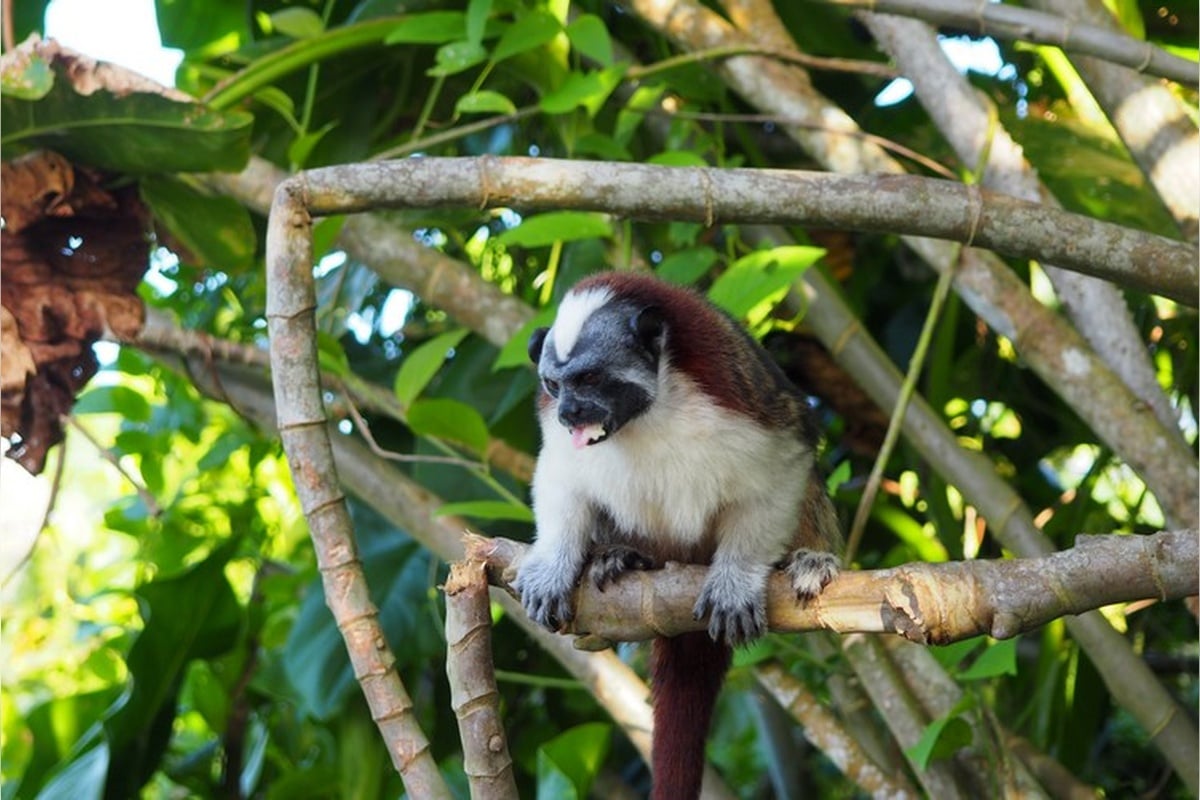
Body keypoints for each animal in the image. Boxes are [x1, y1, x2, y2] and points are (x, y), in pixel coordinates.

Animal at [515, 270, 842, 800]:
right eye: (553, 385)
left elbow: (784, 466)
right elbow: (561, 477)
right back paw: (623, 556)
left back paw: (809, 559)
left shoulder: (739, 395)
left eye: (588, 380)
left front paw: (735, 580)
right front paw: (553, 567)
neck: (649, 411)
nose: (568, 414)